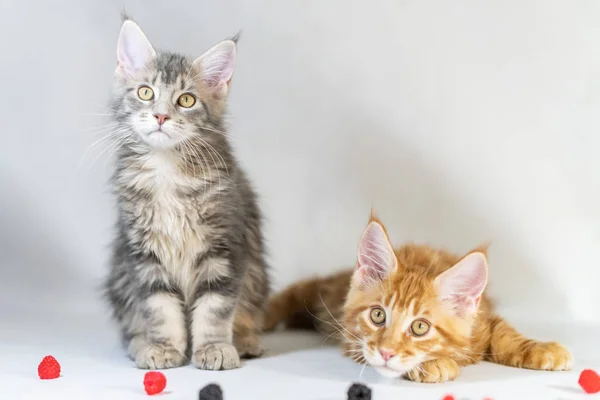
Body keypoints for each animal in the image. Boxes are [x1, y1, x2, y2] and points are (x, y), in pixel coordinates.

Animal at [104, 17, 268, 370]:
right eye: (146, 92)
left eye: (187, 100)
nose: (161, 116)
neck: (167, 169)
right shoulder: (143, 253)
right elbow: (160, 308)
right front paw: (163, 347)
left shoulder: (224, 247)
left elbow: (214, 309)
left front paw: (214, 348)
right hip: (120, 275)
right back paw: (140, 342)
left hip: (257, 277)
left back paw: (246, 341)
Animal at [266, 214, 572, 382]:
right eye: (378, 315)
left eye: (420, 327)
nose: (386, 352)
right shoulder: (350, 338)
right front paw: (433, 364)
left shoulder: (484, 319)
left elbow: (506, 334)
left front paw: (543, 349)